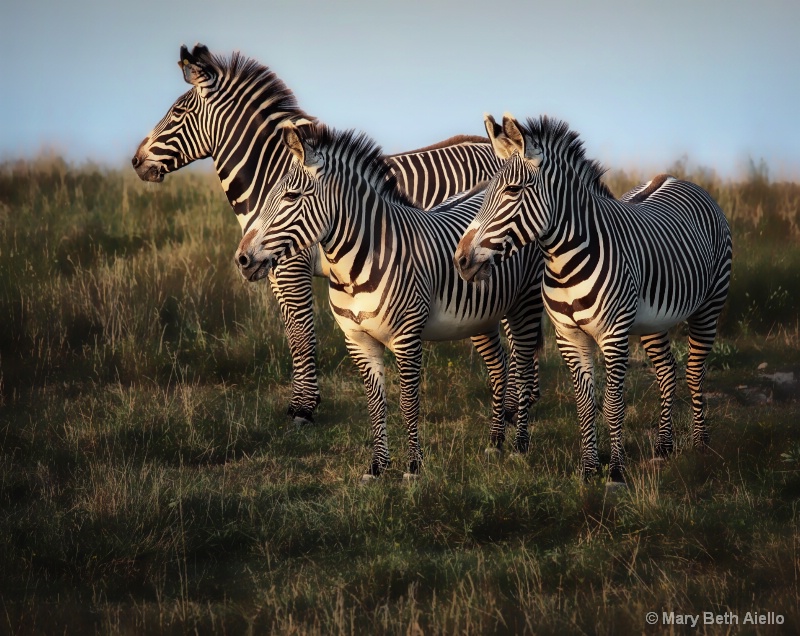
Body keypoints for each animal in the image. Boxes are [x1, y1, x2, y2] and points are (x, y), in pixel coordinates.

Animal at [130, 43, 506, 422]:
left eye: (177, 113)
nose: (135, 162)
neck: (270, 176)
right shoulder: (272, 268)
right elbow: (292, 331)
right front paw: (303, 401)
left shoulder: (292, 266)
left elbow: (301, 333)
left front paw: (304, 407)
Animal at [233, 121, 544, 480]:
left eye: (290, 196)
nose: (242, 259)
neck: (355, 267)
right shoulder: (357, 339)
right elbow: (375, 403)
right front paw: (377, 466)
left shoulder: (407, 338)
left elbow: (408, 402)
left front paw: (414, 467)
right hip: (481, 316)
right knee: (499, 368)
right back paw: (495, 441)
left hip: (525, 302)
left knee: (523, 367)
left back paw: (520, 446)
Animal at [456, 114, 732, 482]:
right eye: (485, 192)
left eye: (512, 190)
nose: (461, 260)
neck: (563, 262)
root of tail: (675, 178)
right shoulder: (569, 336)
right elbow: (585, 404)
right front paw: (589, 469)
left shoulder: (614, 335)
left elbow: (613, 405)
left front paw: (615, 472)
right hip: (655, 320)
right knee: (667, 370)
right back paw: (663, 446)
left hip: (709, 306)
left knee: (694, 371)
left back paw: (701, 445)